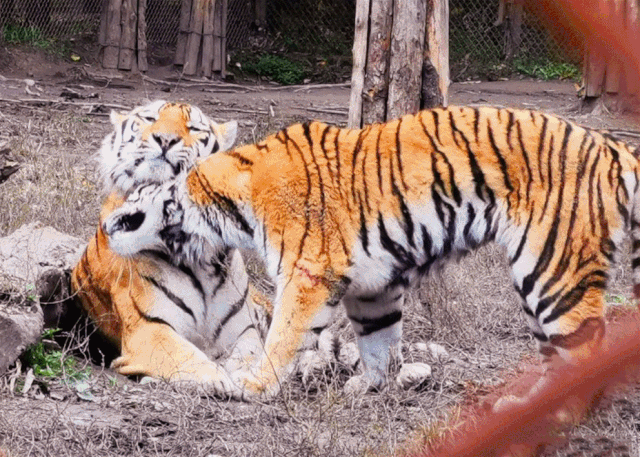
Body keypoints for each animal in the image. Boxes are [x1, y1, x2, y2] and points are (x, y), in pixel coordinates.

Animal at [100, 105, 640, 403]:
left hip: (553, 273)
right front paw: (371, 386)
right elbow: (379, 342)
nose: (103, 217)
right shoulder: (372, 285)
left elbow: (282, 337)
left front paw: (254, 385)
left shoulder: (306, 273)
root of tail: (615, 148)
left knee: (585, 352)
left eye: (133, 186)